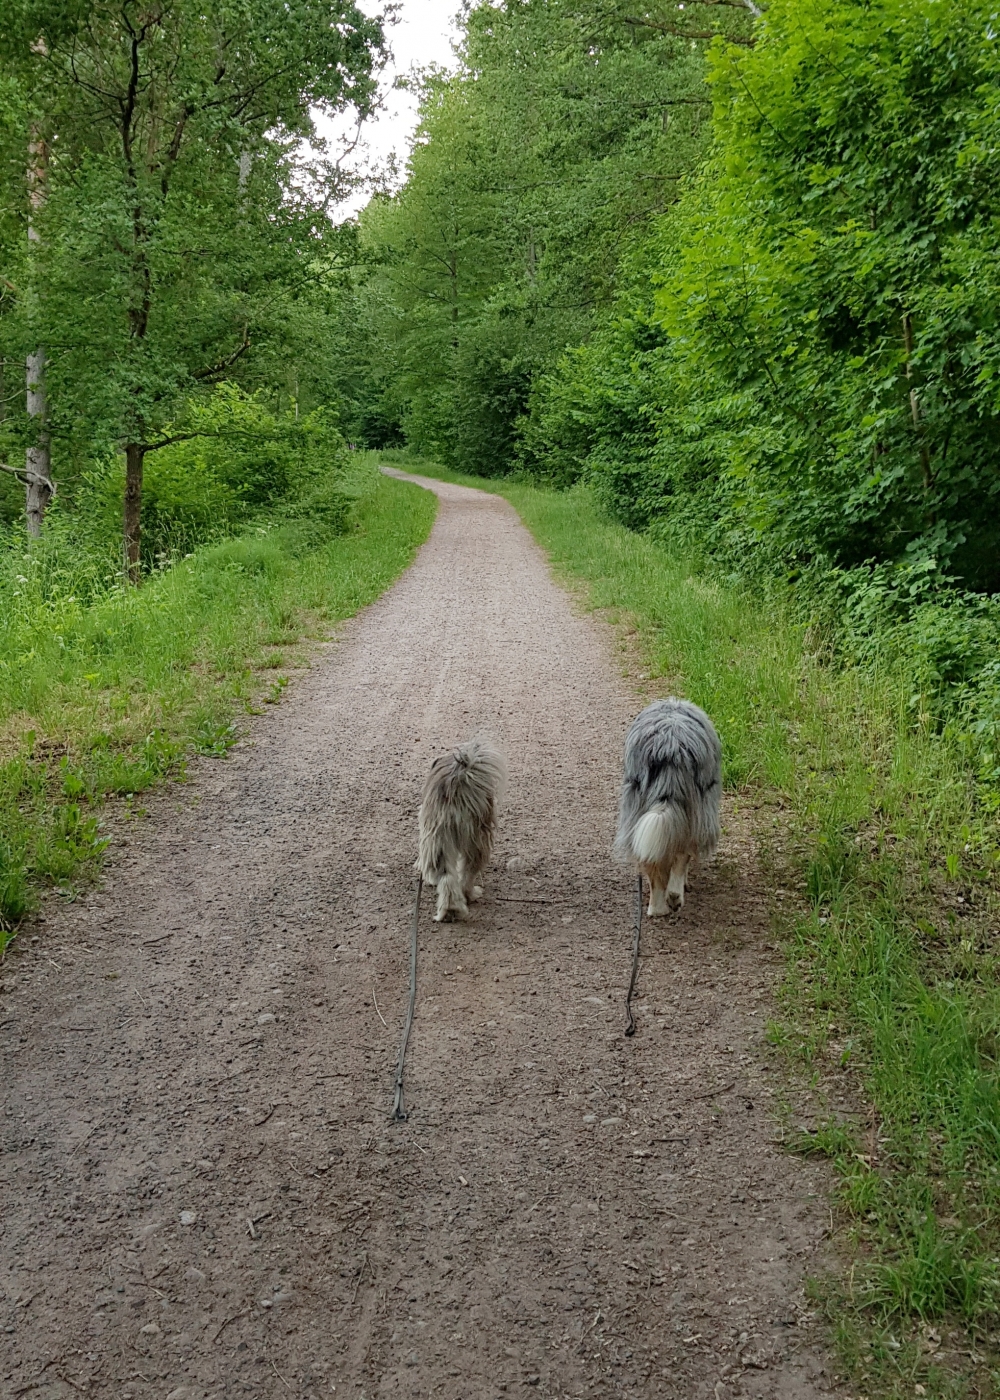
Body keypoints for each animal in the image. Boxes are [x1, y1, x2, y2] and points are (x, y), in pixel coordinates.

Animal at [417, 739, 506, 922]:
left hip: (437, 842)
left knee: (447, 877)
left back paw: (450, 910)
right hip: (477, 839)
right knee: (467, 872)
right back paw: (468, 896)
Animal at [614, 698, 721, 915]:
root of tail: (670, 746)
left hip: (636, 810)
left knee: (651, 861)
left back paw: (657, 908)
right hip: (699, 812)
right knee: (682, 853)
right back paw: (674, 896)